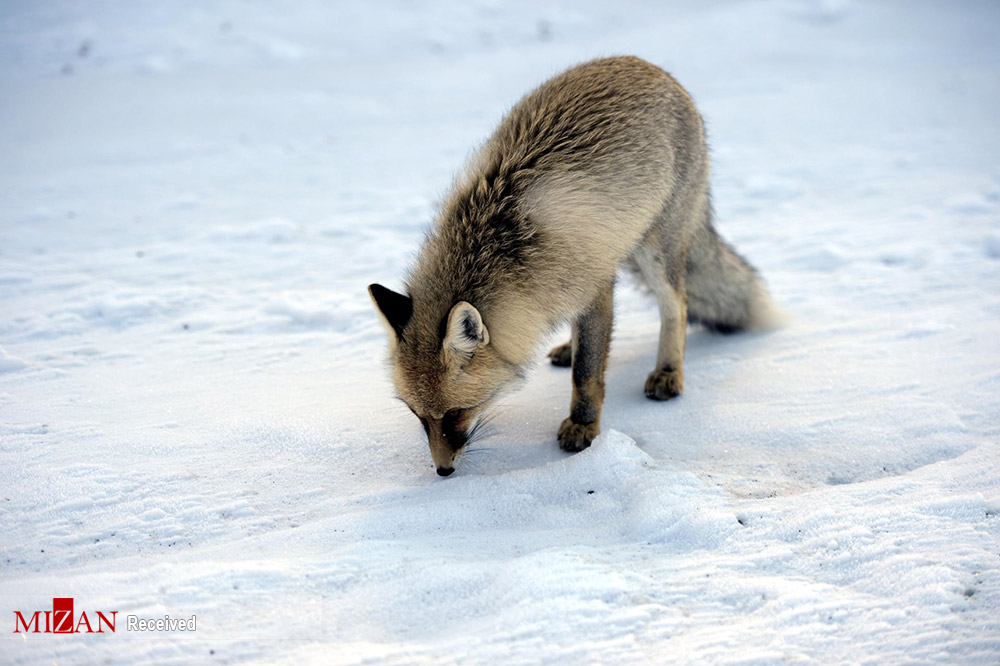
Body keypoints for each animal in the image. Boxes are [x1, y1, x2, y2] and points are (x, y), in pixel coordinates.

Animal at [368, 55, 780, 472]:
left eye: (457, 412)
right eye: (419, 416)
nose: (443, 470)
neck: (503, 245)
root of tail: (648, 65)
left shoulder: (596, 288)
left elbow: (587, 374)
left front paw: (583, 427)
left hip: (655, 250)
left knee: (677, 305)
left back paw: (668, 372)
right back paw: (568, 346)